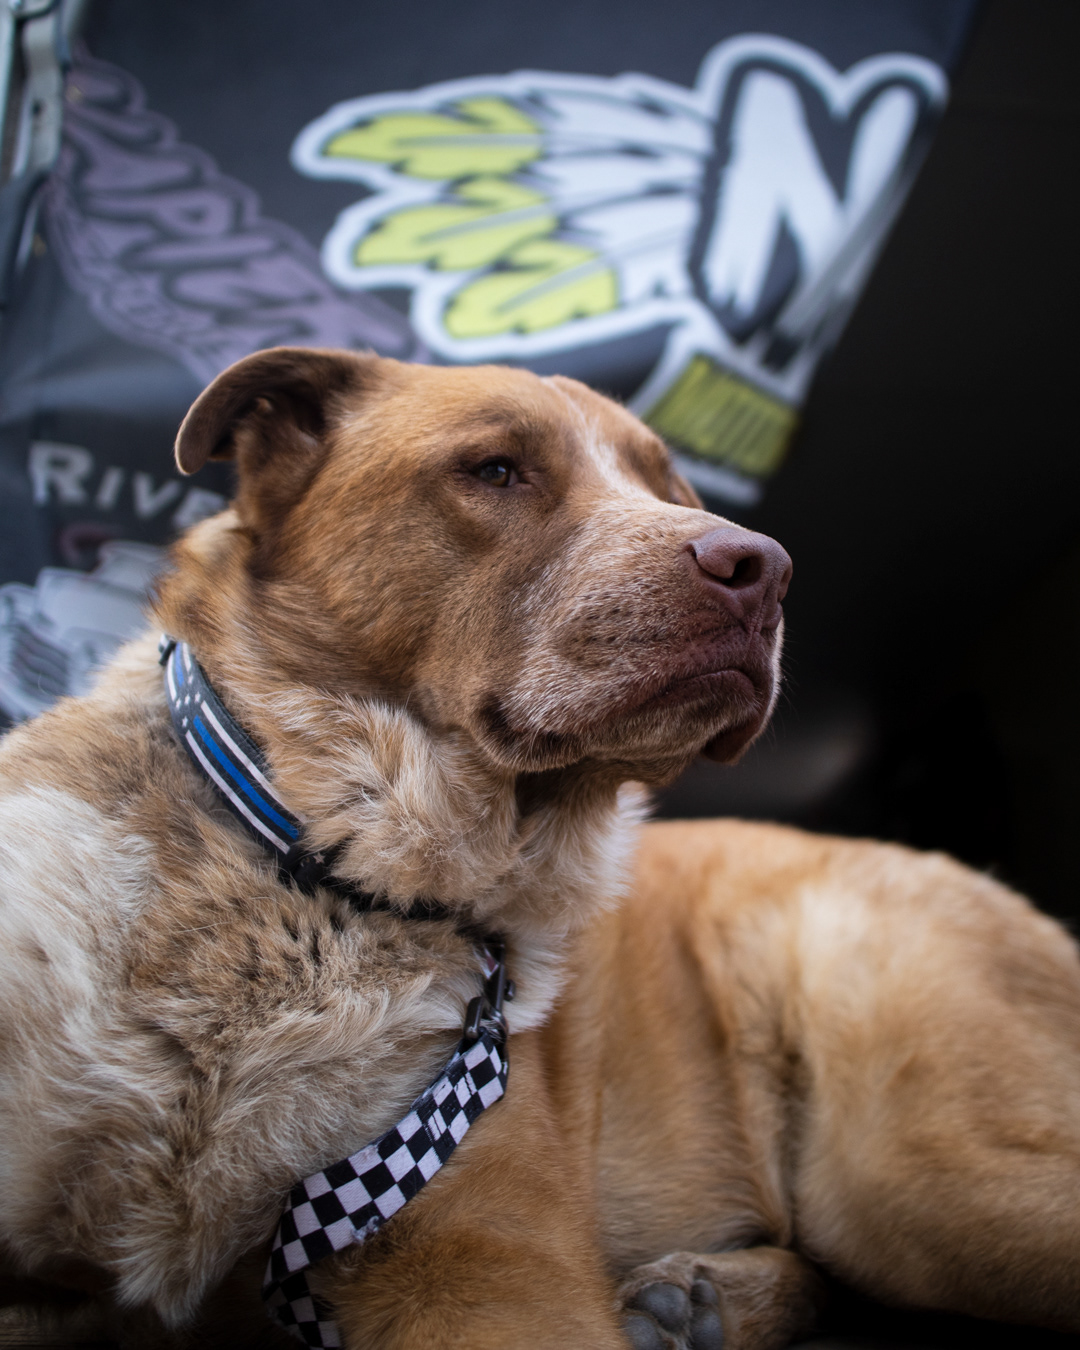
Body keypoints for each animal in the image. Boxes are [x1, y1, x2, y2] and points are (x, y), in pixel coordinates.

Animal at [0, 348, 1077, 1350]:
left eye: (670, 490)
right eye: (496, 470)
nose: (765, 570)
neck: (325, 876)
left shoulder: (486, 1260)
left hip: (905, 1172)